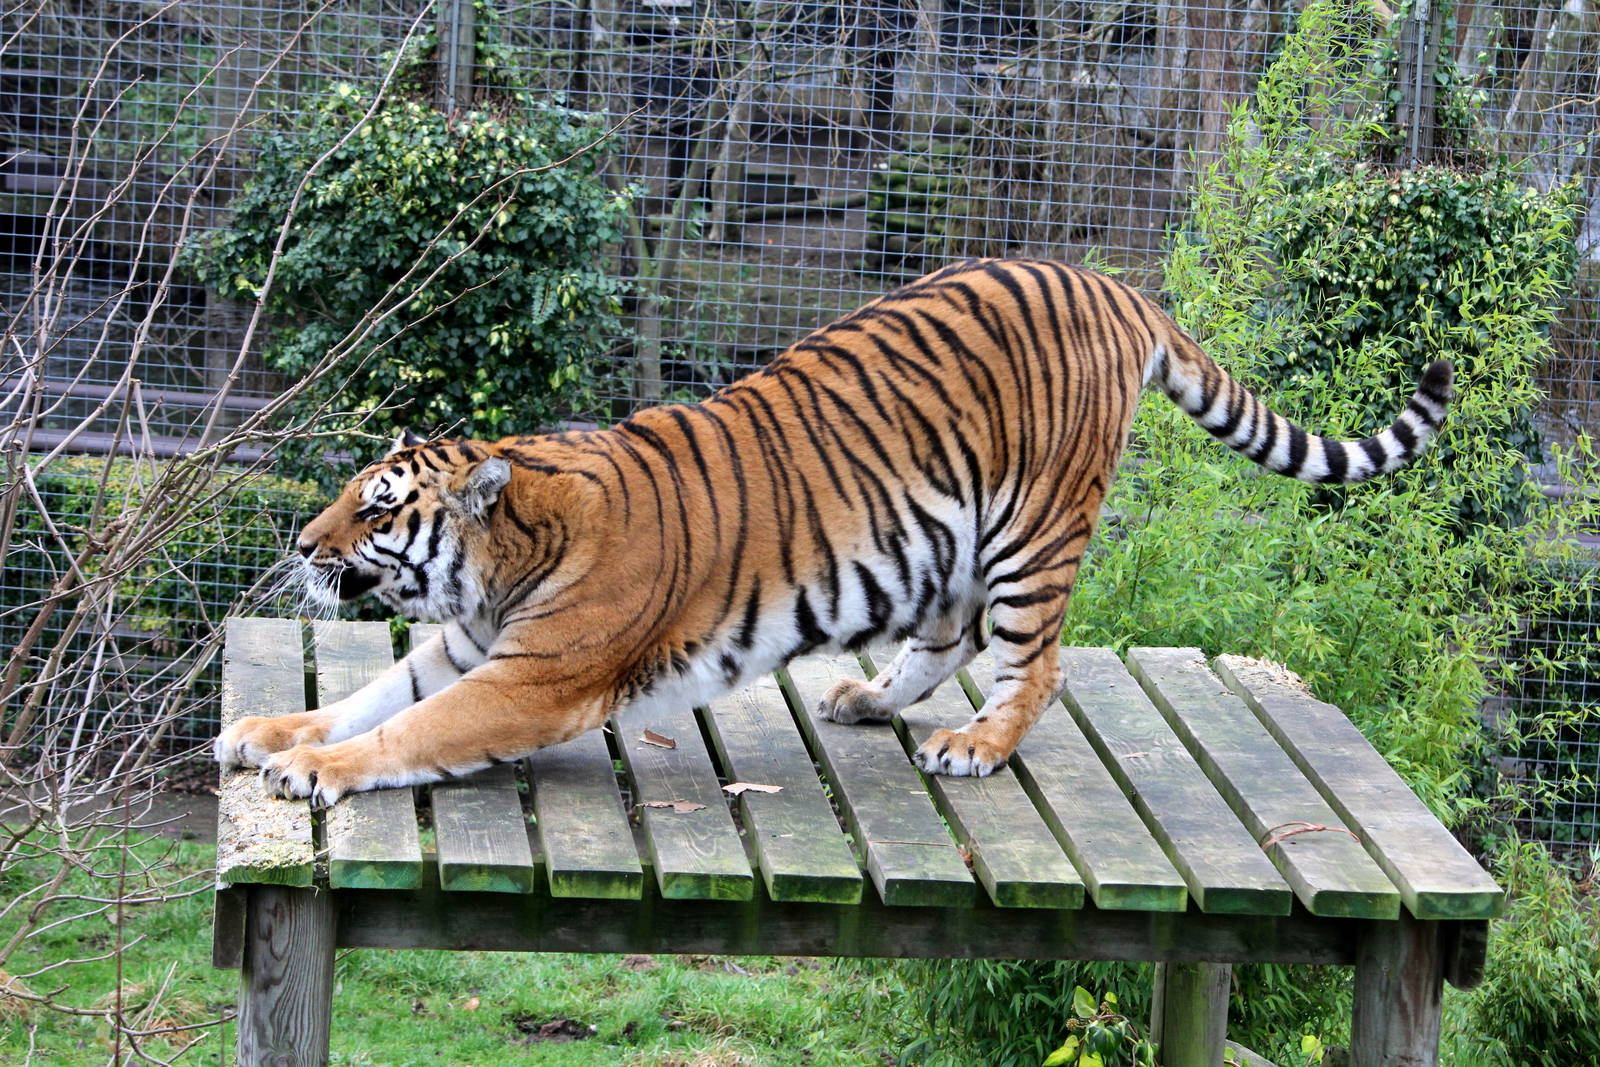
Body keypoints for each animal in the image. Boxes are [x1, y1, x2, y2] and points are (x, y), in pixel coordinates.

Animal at [216, 258, 1453, 806]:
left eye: (377, 506)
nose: (297, 542)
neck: (502, 562)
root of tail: (1110, 282)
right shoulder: (468, 645)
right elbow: (371, 693)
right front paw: (268, 730)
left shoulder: (528, 678)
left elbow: (407, 729)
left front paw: (314, 767)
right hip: (943, 540)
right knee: (951, 635)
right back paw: (866, 699)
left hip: (1034, 532)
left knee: (1035, 663)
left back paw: (974, 746)